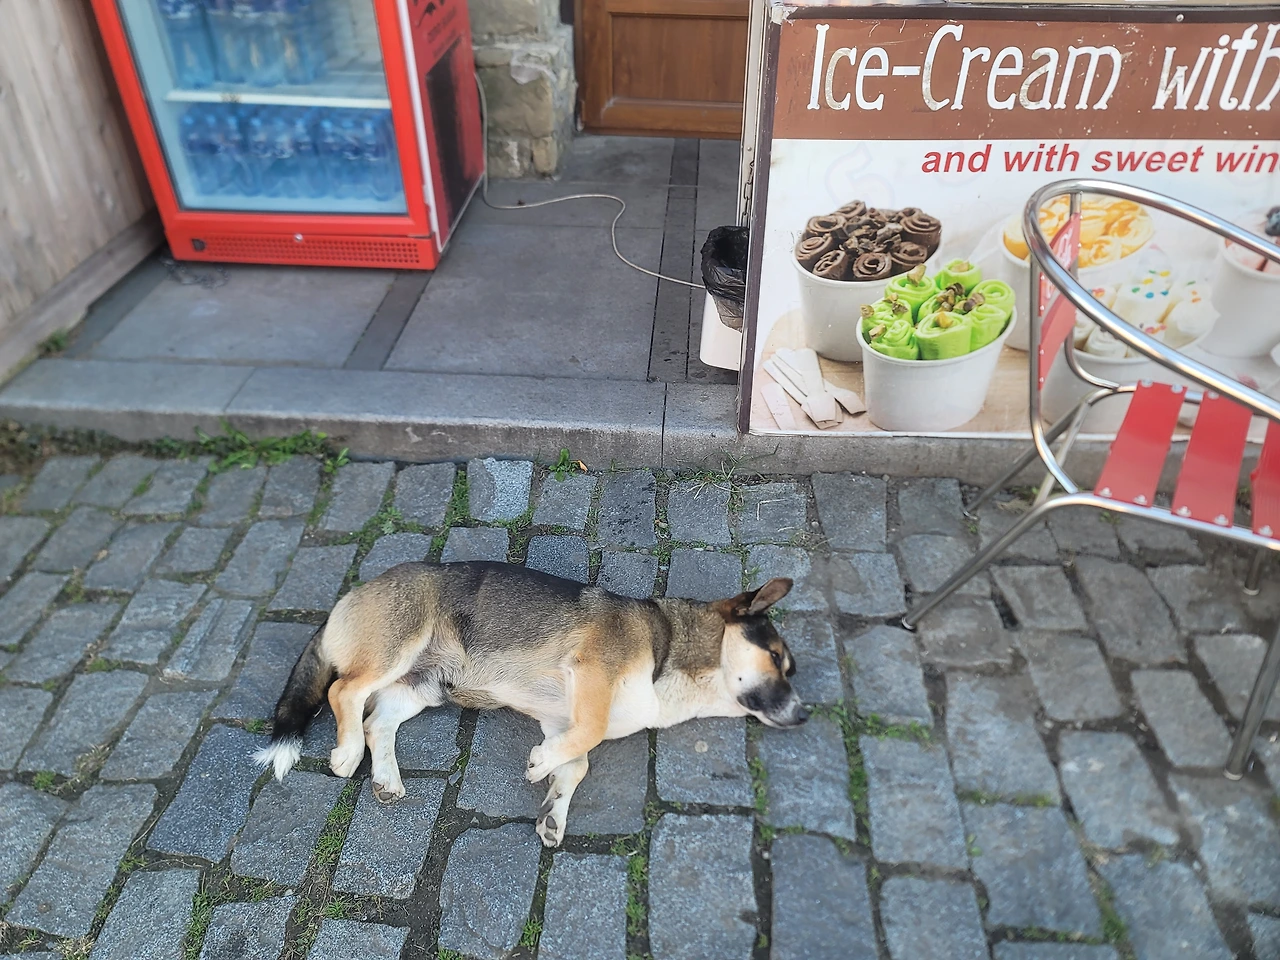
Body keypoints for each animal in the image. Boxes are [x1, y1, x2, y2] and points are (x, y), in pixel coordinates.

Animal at [254, 561, 806, 846]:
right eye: (778, 658)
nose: (804, 714)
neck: (668, 648)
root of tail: (347, 598)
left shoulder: (560, 718)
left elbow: (577, 762)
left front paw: (554, 807)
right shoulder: (590, 674)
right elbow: (586, 735)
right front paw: (540, 767)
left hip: (423, 686)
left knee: (377, 722)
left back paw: (387, 778)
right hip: (399, 646)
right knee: (343, 693)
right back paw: (347, 752)